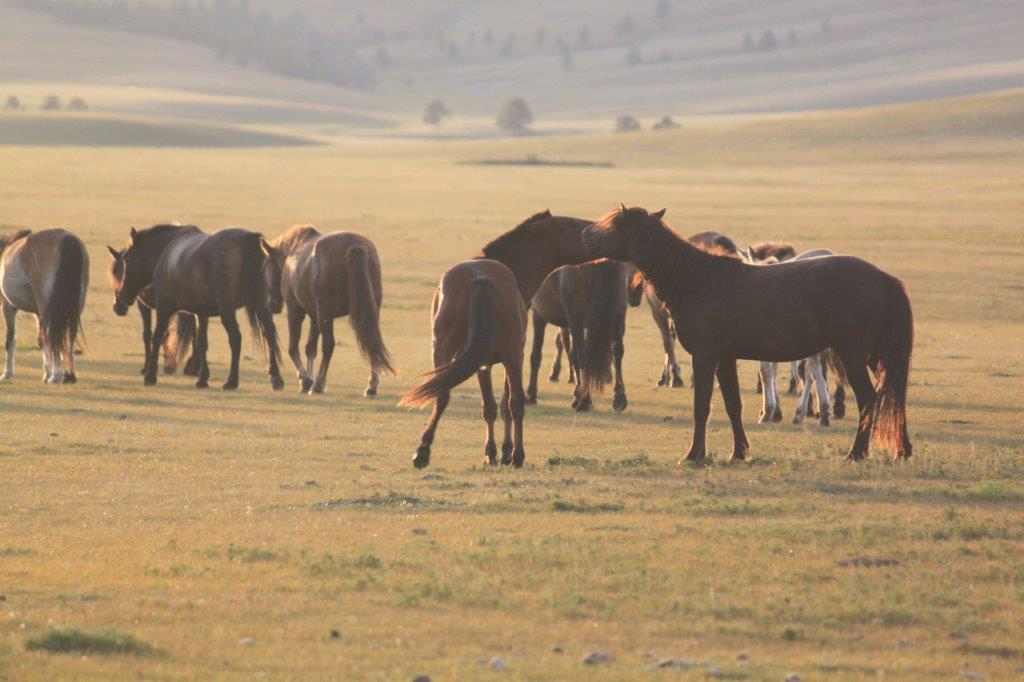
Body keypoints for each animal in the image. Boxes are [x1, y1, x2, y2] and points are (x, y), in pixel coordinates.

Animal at [107, 244, 198, 374]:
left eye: (118, 277)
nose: (117, 307)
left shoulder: (163, 307)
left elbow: (163, 334)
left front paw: (165, 364)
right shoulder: (147, 306)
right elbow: (148, 335)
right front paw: (148, 366)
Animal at [262, 223, 393, 393]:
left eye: (266, 267)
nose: (272, 305)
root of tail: (354, 245)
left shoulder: (295, 310)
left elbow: (293, 346)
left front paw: (305, 379)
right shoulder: (314, 315)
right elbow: (310, 348)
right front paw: (307, 378)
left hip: (325, 314)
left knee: (328, 345)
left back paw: (318, 384)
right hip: (369, 310)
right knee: (371, 341)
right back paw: (371, 385)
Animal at [399, 209, 593, 466]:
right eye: (572, 225)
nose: (596, 228)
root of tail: (481, 280)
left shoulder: (482, 364)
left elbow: (490, 406)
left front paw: (491, 453)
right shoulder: (506, 359)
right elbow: (504, 404)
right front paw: (505, 451)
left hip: (443, 350)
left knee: (442, 395)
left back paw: (422, 451)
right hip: (512, 356)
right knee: (516, 402)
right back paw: (518, 455)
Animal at [585, 205, 913, 462]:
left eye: (614, 224)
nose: (586, 235)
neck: (697, 280)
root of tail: (884, 279)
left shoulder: (705, 356)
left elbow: (702, 405)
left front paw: (695, 454)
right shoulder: (725, 358)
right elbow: (733, 405)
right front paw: (739, 452)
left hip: (853, 355)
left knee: (869, 398)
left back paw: (856, 452)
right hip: (874, 356)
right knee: (891, 396)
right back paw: (902, 449)